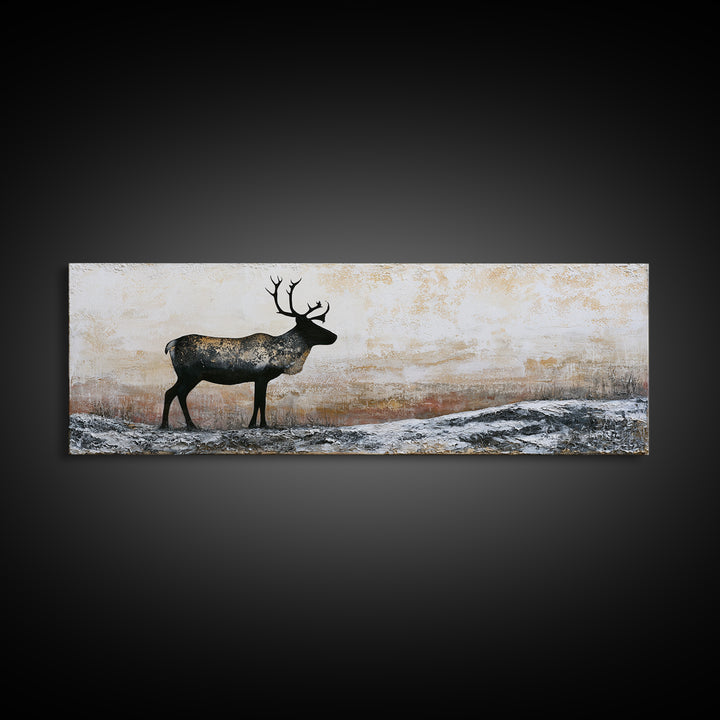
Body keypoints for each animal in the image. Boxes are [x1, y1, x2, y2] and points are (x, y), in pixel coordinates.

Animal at [160, 277, 337, 430]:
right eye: (311, 326)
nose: (334, 336)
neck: (281, 356)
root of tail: (172, 344)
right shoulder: (261, 376)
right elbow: (261, 402)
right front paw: (261, 424)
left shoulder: (258, 378)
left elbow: (258, 401)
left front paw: (254, 424)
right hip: (190, 374)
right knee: (177, 393)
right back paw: (185, 425)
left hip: (185, 375)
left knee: (172, 393)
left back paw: (169, 424)